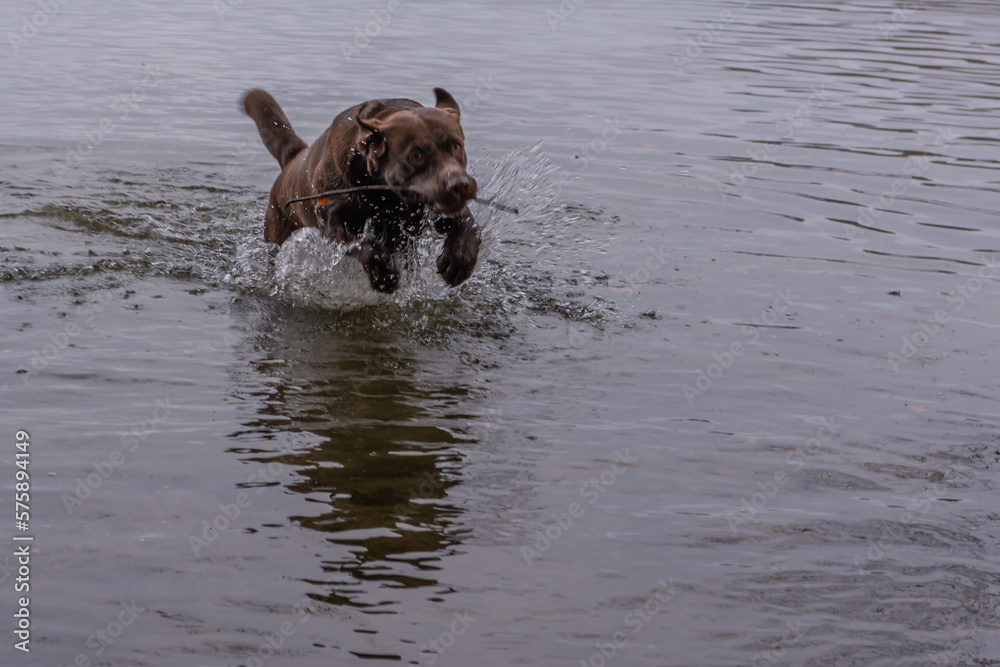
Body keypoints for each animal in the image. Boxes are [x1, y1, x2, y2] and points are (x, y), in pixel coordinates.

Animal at [240, 87, 478, 292]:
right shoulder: (331, 219)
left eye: (456, 146)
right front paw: (383, 274)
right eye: (416, 155)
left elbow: (466, 221)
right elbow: (364, 245)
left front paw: (460, 258)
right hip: (278, 229)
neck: (385, 197)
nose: (460, 185)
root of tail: (293, 158)